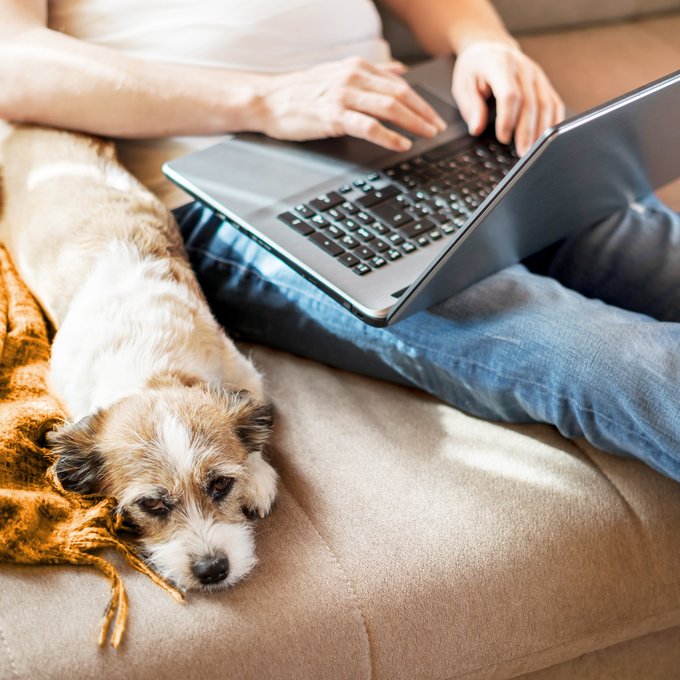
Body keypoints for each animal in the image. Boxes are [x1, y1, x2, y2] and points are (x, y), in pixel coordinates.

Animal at [0, 125, 278, 592]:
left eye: (221, 484)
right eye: (152, 504)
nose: (213, 570)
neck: (151, 368)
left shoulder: (242, 371)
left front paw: (257, 472)